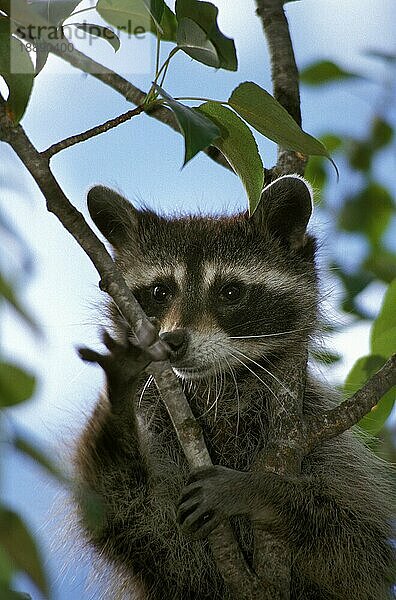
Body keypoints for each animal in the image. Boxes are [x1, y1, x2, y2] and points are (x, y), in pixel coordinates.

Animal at [76, 176, 394, 596]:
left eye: (230, 292)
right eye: (160, 292)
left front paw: (260, 490)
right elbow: (115, 510)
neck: (215, 385)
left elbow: (353, 543)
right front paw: (119, 394)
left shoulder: (319, 436)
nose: (173, 342)